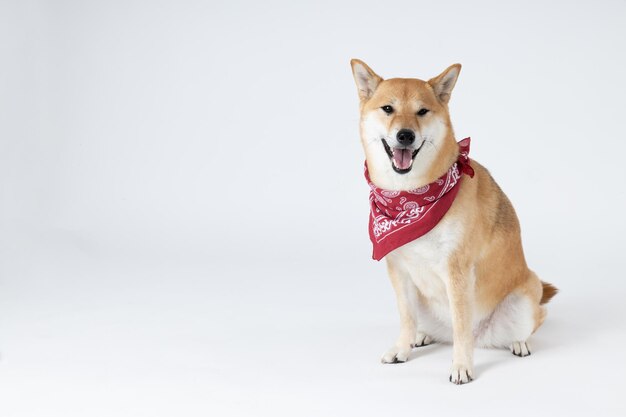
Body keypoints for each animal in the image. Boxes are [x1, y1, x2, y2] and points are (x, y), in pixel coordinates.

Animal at [348, 58, 560, 384]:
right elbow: (406, 318)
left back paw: (518, 342)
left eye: (422, 111)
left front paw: (461, 366)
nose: (405, 135)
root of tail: (484, 338)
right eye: (388, 109)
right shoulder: (398, 269)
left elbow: (462, 327)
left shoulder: (457, 269)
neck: (411, 195)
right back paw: (422, 337)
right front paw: (402, 348)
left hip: (526, 296)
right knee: (432, 327)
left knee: (532, 319)